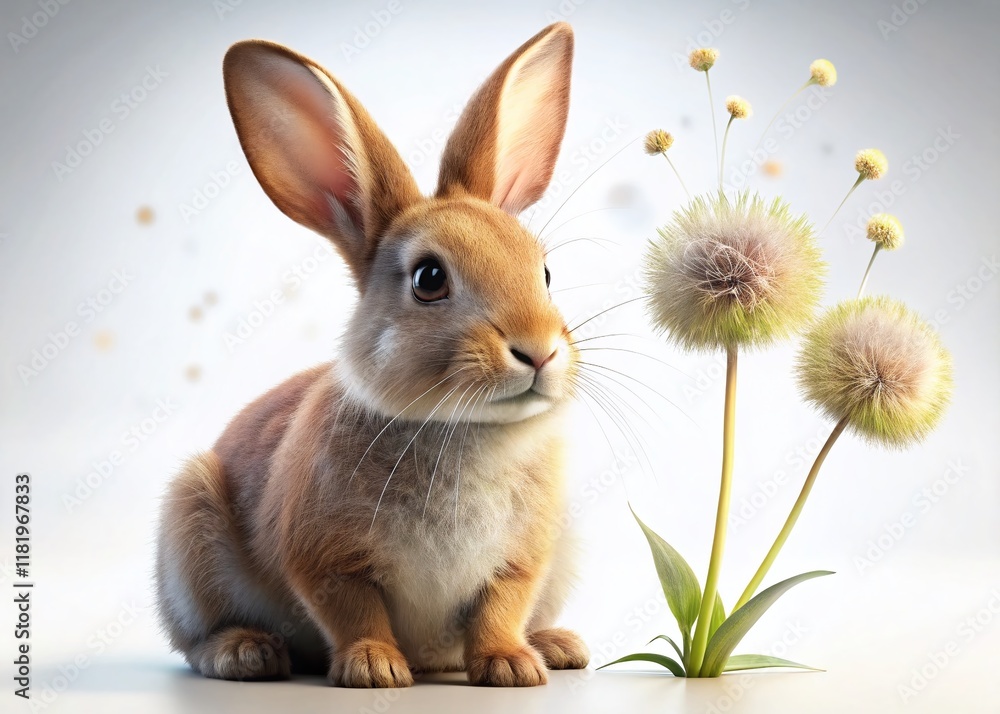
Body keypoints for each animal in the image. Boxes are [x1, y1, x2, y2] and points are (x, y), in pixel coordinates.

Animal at [154, 22, 591, 688]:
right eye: (429, 279)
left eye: (544, 272)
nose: (538, 351)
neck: (461, 427)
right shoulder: (325, 557)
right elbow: (354, 608)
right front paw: (374, 668)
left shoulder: (523, 560)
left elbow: (500, 607)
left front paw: (511, 666)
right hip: (190, 526)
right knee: (197, 639)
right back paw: (246, 653)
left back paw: (555, 645)